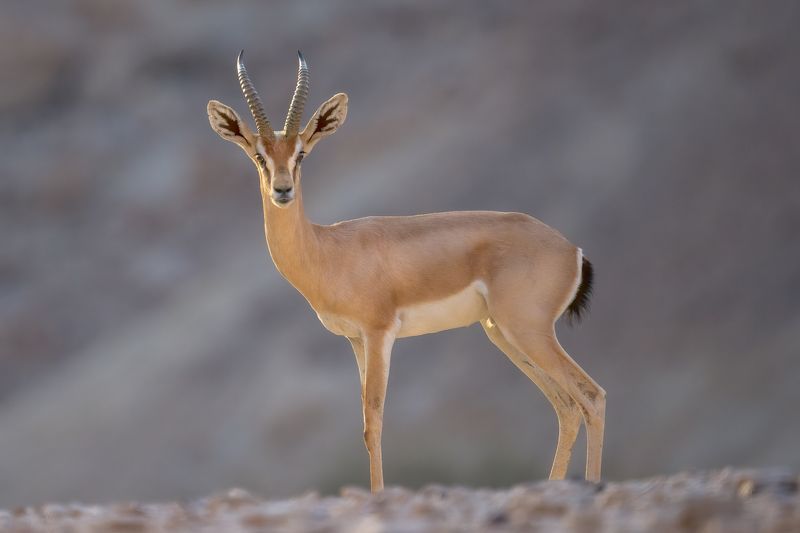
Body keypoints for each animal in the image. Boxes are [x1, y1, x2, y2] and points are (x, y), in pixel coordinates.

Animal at [207, 51, 605, 492]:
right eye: (260, 155)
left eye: (301, 154)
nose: (282, 190)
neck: (328, 249)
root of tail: (572, 250)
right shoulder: (355, 340)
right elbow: (365, 423)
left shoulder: (379, 333)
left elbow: (374, 421)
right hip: (502, 332)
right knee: (566, 406)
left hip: (528, 331)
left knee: (591, 396)